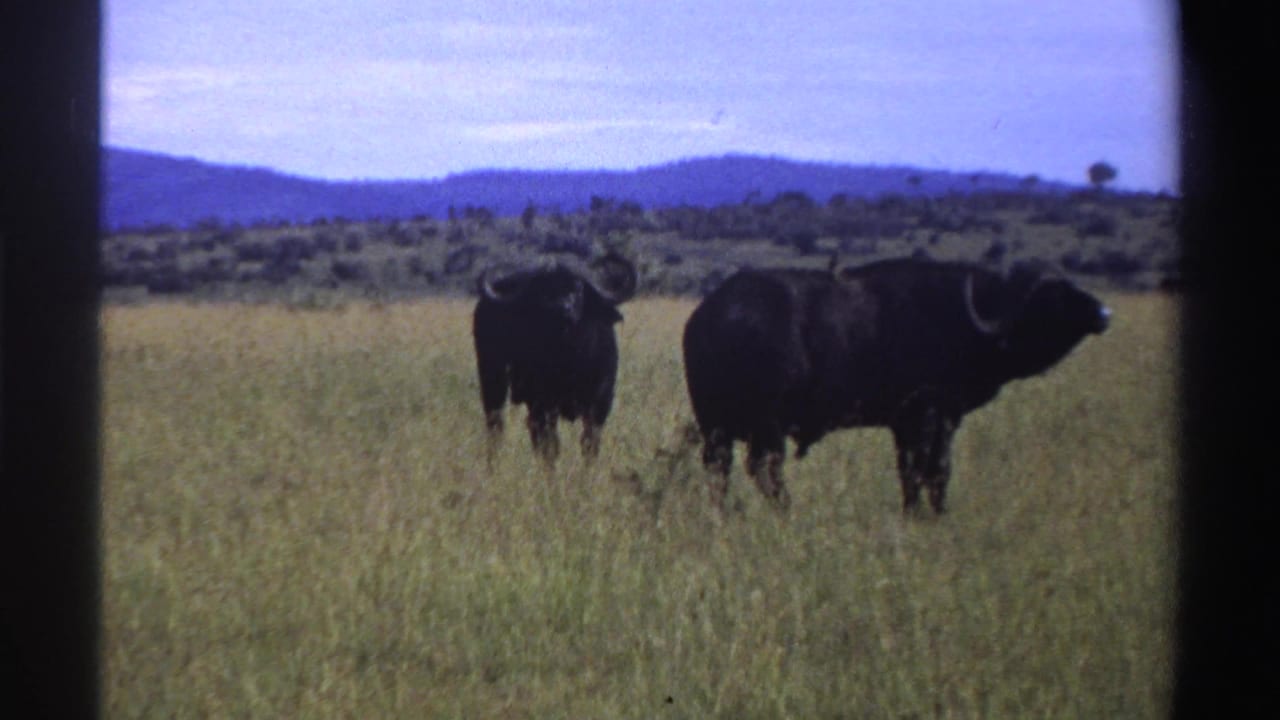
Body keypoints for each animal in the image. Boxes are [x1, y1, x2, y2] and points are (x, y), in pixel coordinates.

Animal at [473, 252, 638, 464]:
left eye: (578, 287)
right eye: (543, 290)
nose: (561, 308)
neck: (569, 360)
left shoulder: (601, 403)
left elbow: (590, 443)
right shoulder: (544, 404)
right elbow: (550, 446)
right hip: (492, 378)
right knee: (496, 422)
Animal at [682, 258, 1110, 514]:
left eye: (1073, 285)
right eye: (1055, 295)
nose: (1104, 313)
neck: (971, 322)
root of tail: (710, 317)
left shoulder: (907, 424)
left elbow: (912, 472)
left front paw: (917, 512)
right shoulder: (931, 416)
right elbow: (933, 469)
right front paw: (931, 514)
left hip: (717, 427)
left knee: (722, 469)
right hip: (766, 426)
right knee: (765, 468)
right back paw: (786, 511)